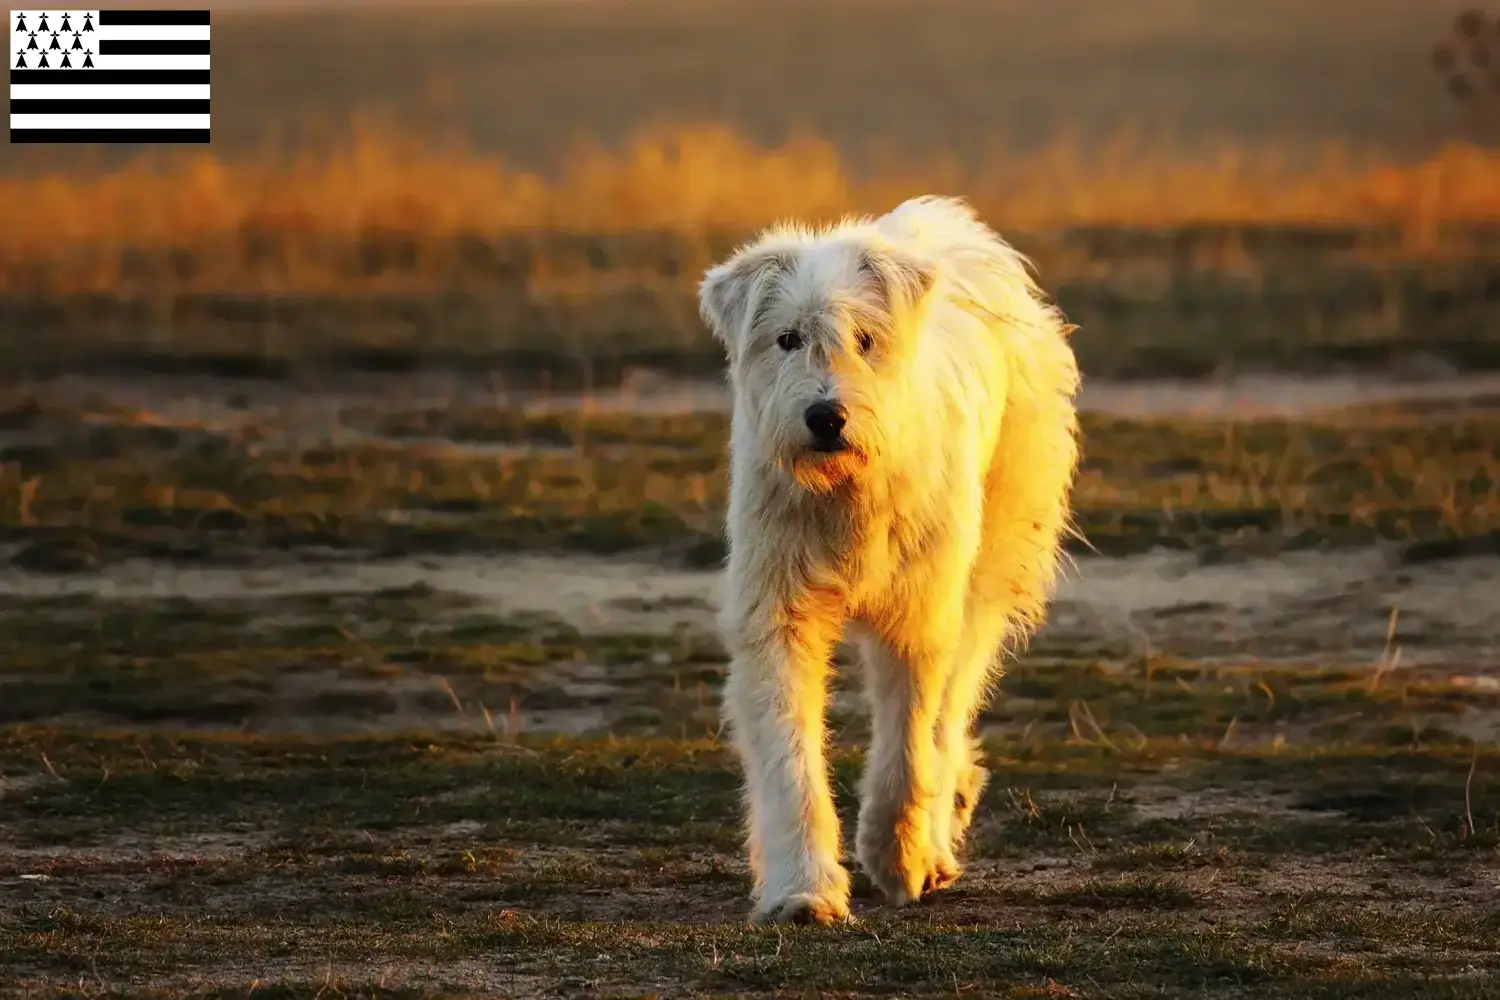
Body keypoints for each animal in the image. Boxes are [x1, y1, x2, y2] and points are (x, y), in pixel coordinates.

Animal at [699, 193, 1080, 923]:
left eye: (866, 339)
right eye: (787, 339)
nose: (826, 417)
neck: (847, 488)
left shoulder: (919, 612)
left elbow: (909, 740)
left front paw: (898, 858)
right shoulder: (777, 611)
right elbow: (789, 753)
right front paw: (804, 889)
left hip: (988, 566)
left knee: (951, 709)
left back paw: (939, 831)